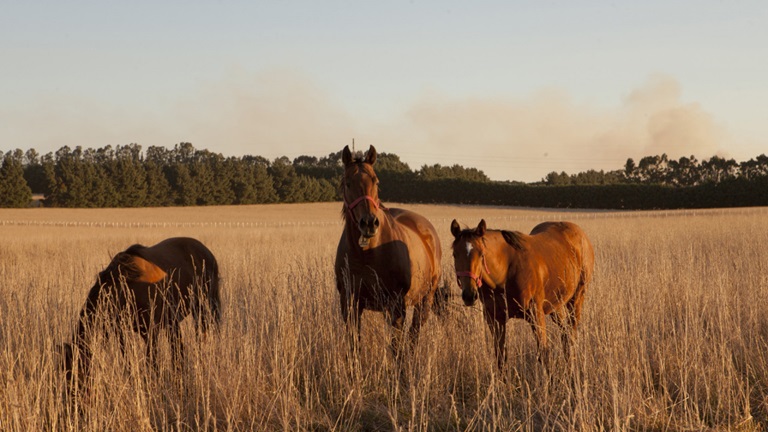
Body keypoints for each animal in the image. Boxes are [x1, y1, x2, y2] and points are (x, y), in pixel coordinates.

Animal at [61, 236, 220, 388]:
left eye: (76, 373)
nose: (70, 394)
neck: (125, 288)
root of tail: (207, 253)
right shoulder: (121, 332)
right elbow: (128, 360)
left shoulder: (150, 332)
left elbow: (151, 362)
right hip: (174, 320)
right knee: (177, 348)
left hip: (204, 308)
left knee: (203, 335)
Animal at [332, 145, 440, 358]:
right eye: (347, 183)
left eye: (376, 181)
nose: (369, 223)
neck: (367, 254)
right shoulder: (349, 304)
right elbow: (354, 346)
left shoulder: (397, 306)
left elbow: (397, 348)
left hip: (424, 301)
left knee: (414, 334)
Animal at [450, 221, 592, 370]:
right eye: (454, 254)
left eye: (481, 254)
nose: (469, 295)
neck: (506, 272)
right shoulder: (495, 318)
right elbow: (501, 357)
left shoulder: (536, 314)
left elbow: (544, 354)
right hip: (556, 306)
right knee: (565, 335)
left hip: (576, 299)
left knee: (570, 336)